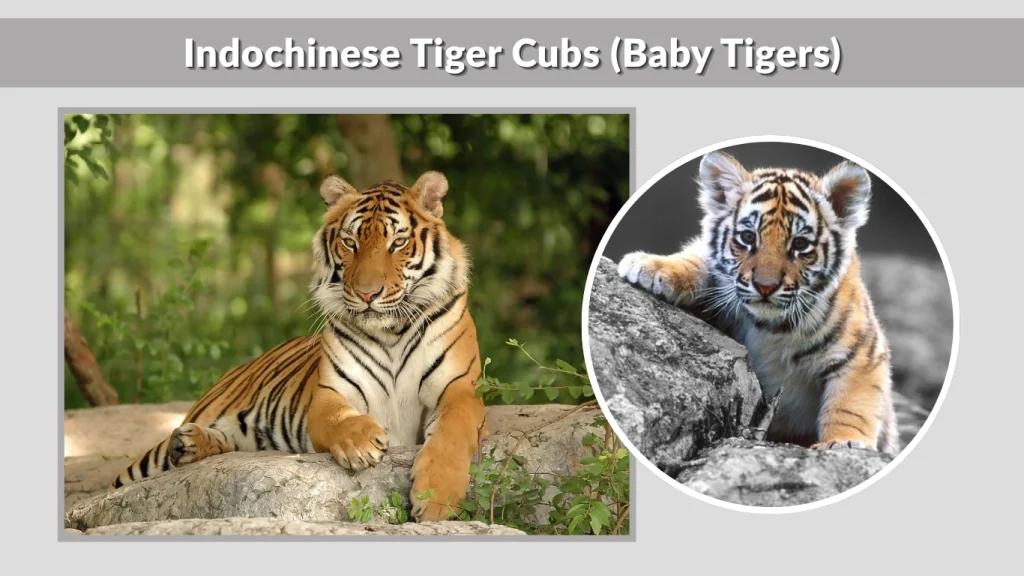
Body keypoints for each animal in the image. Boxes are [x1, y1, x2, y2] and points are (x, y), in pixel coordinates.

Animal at [110, 170, 487, 522]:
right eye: (350, 242)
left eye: (397, 242)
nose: (367, 294)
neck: (390, 332)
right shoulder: (331, 393)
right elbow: (337, 418)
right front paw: (362, 442)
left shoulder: (460, 389)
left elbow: (452, 433)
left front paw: (437, 501)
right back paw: (183, 443)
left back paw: (187, 445)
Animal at [617, 150, 899, 455]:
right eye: (747, 237)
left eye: (800, 244)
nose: (765, 286)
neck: (772, 328)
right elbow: (698, 260)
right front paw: (650, 266)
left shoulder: (863, 354)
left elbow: (850, 405)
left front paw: (845, 442)